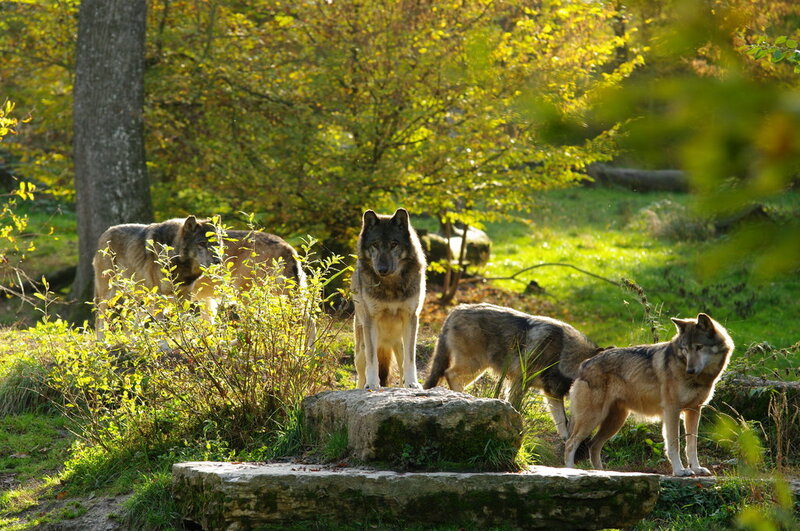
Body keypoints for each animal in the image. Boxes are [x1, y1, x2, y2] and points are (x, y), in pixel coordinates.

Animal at [351, 208, 426, 390]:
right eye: (375, 245)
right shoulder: (371, 321)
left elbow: (410, 360)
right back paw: (363, 386)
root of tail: (386, 342)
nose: (382, 269)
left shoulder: (411, 319)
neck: (391, 286)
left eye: (394, 244)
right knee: (361, 374)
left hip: (399, 344)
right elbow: (373, 361)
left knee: (401, 367)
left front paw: (413, 383)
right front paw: (372, 385)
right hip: (361, 349)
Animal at [423, 303, 602, 439]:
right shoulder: (521, 382)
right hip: (473, 366)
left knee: (449, 376)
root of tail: (456, 310)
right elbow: (516, 405)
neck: (563, 353)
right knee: (449, 373)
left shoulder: (551, 393)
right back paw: (464, 397)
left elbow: (562, 420)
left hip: (476, 370)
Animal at [564, 313, 734, 476]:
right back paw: (572, 471)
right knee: (570, 444)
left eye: (699, 347)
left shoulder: (694, 411)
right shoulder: (672, 411)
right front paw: (680, 471)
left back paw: (602, 473)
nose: (690, 370)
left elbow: (691, 445)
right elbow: (674, 445)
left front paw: (697, 469)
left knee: (593, 445)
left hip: (615, 422)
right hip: (593, 418)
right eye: (685, 349)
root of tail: (584, 364)